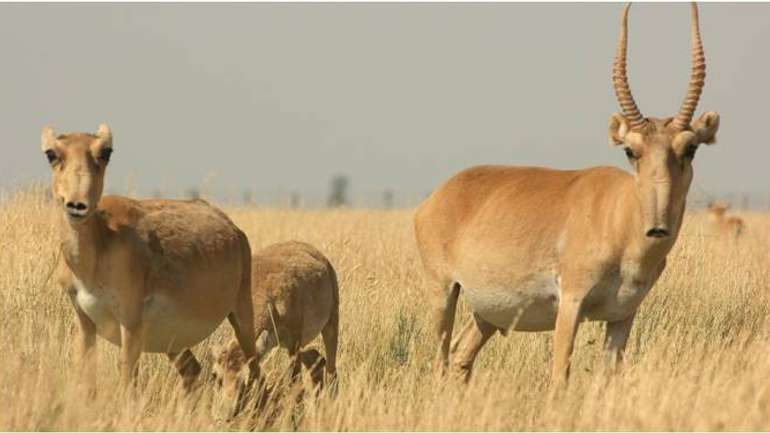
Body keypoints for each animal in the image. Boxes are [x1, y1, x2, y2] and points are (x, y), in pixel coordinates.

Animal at [43, 123, 260, 390]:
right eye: (51, 153)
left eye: (106, 151)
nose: (77, 205)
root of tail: (234, 229)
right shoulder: (85, 324)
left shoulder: (131, 324)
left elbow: (126, 382)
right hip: (174, 342)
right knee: (193, 370)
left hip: (242, 317)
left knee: (257, 371)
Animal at [210, 241, 336, 410]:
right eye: (215, 374)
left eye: (247, 378)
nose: (228, 410)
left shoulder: (294, 343)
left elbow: (296, 384)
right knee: (316, 358)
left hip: (330, 324)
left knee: (331, 368)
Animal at [414, 2, 720, 382]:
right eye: (630, 150)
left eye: (690, 147)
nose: (658, 228)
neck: (618, 217)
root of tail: (438, 196)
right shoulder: (570, 304)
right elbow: (560, 374)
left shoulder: (622, 316)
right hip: (443, 292)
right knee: (440, 359)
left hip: (486, 315)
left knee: (460, 355)